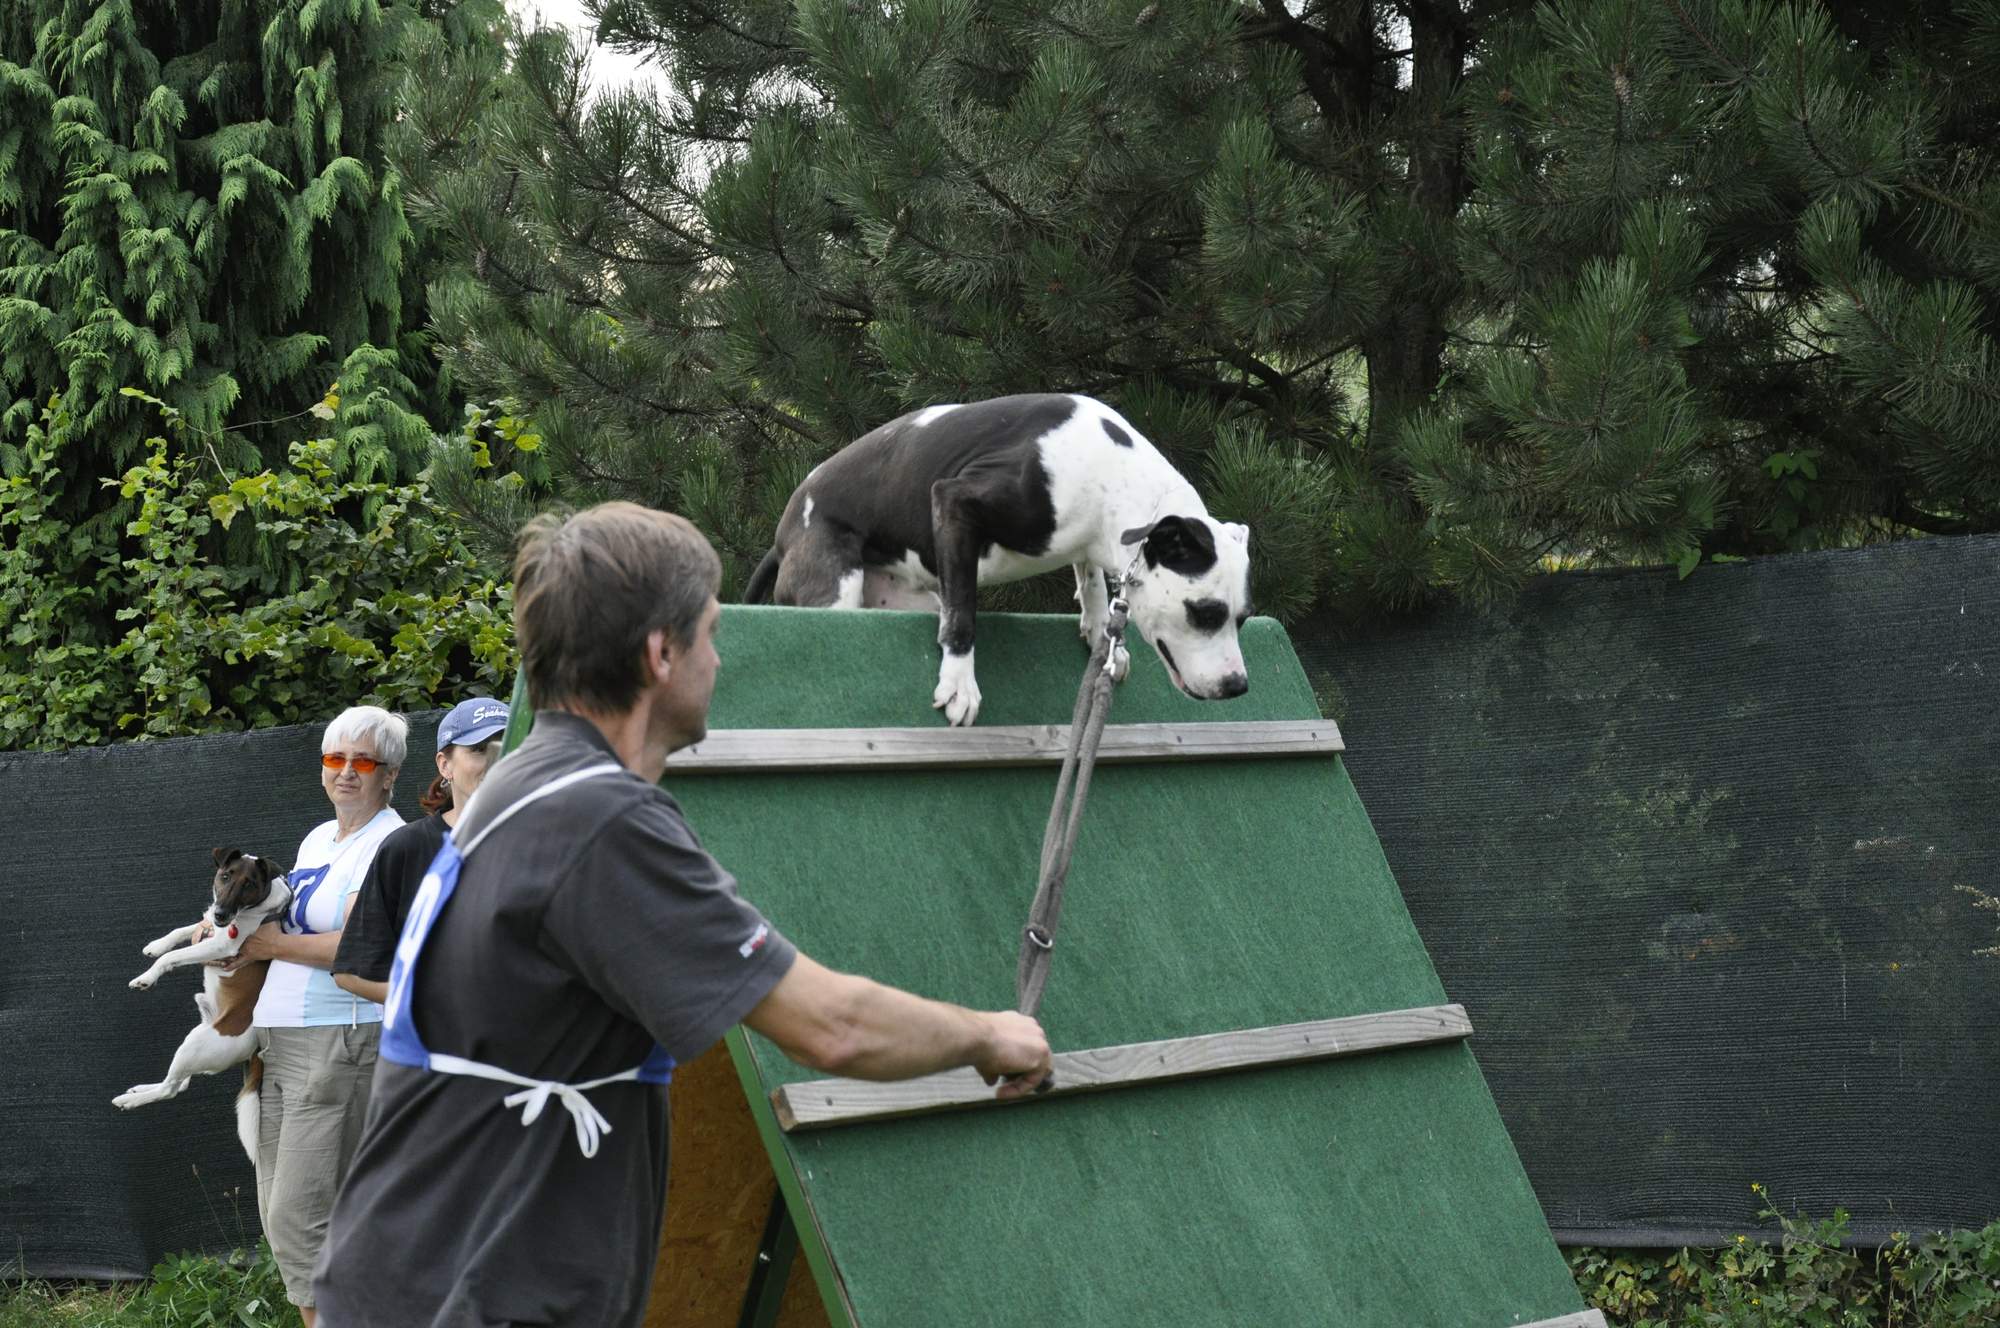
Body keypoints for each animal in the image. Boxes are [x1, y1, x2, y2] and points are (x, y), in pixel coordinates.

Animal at [748, 394, 1248, 728]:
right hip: (836, 587)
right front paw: (959, 683)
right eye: (1205, 613)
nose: (1238, 687)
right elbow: (964, 616)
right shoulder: (953, 502)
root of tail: (782, 537)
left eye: (1241, 619)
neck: (1113, 472)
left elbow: (1089, 579)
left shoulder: (1086, 544)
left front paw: (1101, 633)